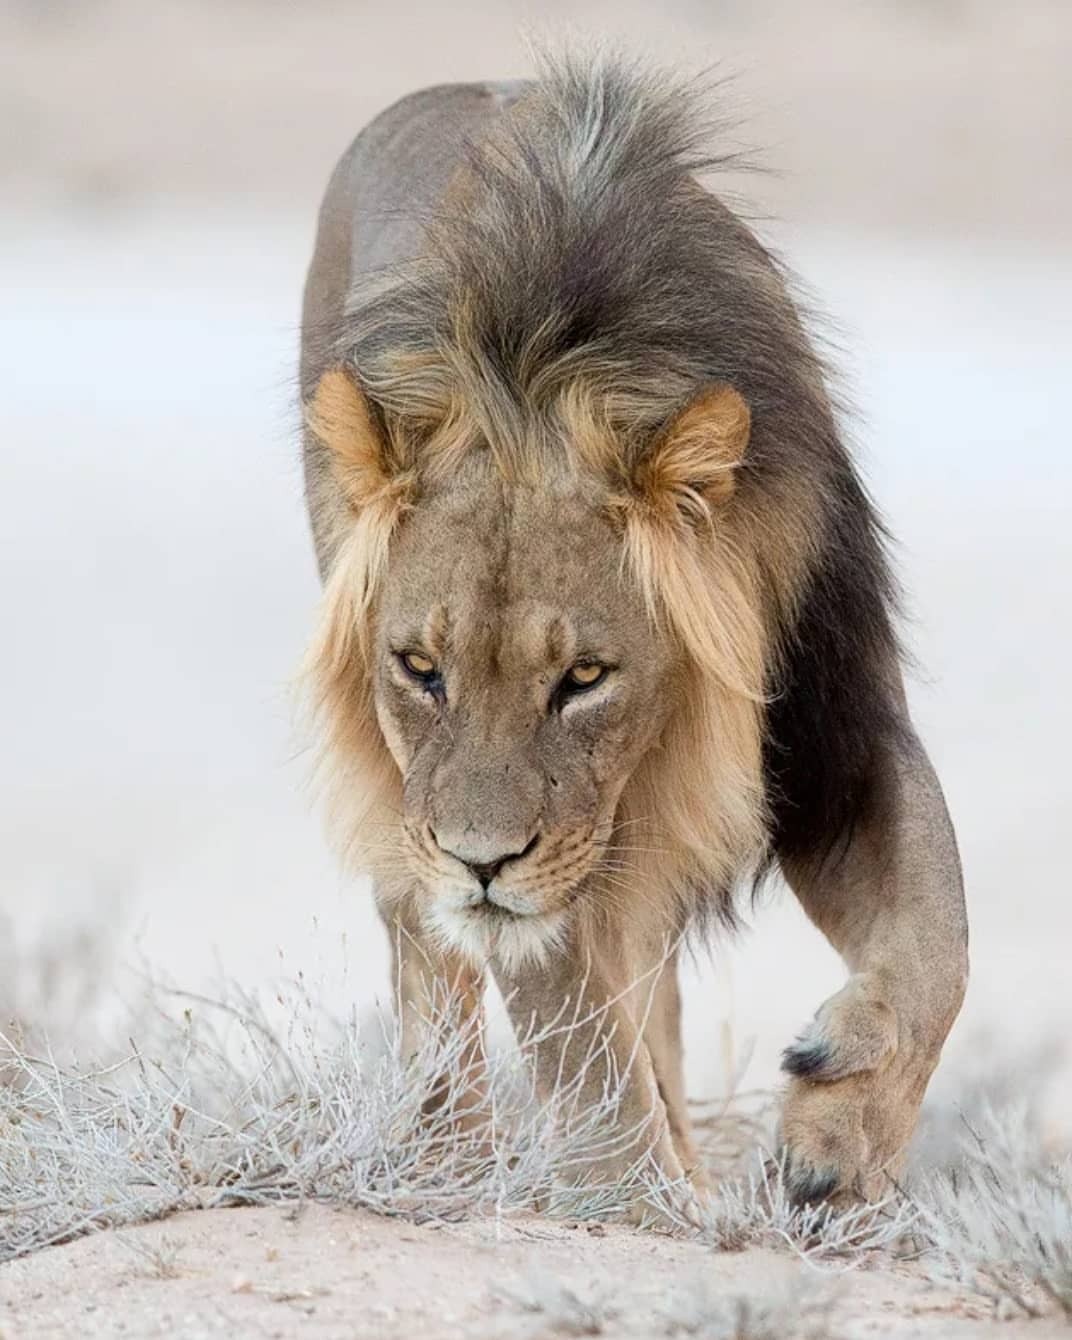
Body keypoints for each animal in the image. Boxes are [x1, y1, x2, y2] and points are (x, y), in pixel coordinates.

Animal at [297, 52, 964, 1211]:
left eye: (584, 676)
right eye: (420, 668)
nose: (480, 862)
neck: (540, 371)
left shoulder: (834, 734)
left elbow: (940, 934)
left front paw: (837, 1142)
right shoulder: (524, 871)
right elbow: (578, 1045)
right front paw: (646, 1204)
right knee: (429, 946)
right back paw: (445, 1156)